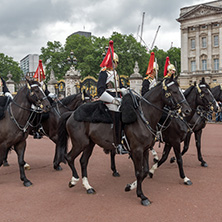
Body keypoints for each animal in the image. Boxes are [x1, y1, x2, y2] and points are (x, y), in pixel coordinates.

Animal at [53, 75, 191, 206]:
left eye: (181, 90)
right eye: (174, 91)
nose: (187, 110)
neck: (143, 117)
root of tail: (72, 114)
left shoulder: (145, 149)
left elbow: (145, 171)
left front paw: (130, 187)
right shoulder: (137, 150)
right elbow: (139, 172)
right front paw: (142, 196)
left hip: (89, 144)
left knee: (83, 161)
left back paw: (88, 186)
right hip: (80, 143)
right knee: (69, 157)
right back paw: (73, 180)